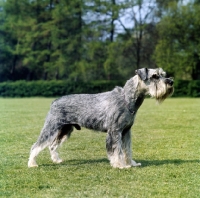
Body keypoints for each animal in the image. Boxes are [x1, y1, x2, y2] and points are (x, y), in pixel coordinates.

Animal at [28, 68, 173, 169]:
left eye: (163, 74)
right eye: (155, 76)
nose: (171, 81)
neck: (127, 99)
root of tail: (54, 102)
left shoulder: (126, 131)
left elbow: (127, 149)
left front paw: (131, 163)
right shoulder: (115, 131)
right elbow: (117, 150)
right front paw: (120, 165)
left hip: (65, 130)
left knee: (52, 145)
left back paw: (56, 160)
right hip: (51, 128)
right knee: (37, 145)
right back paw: (32, 163)